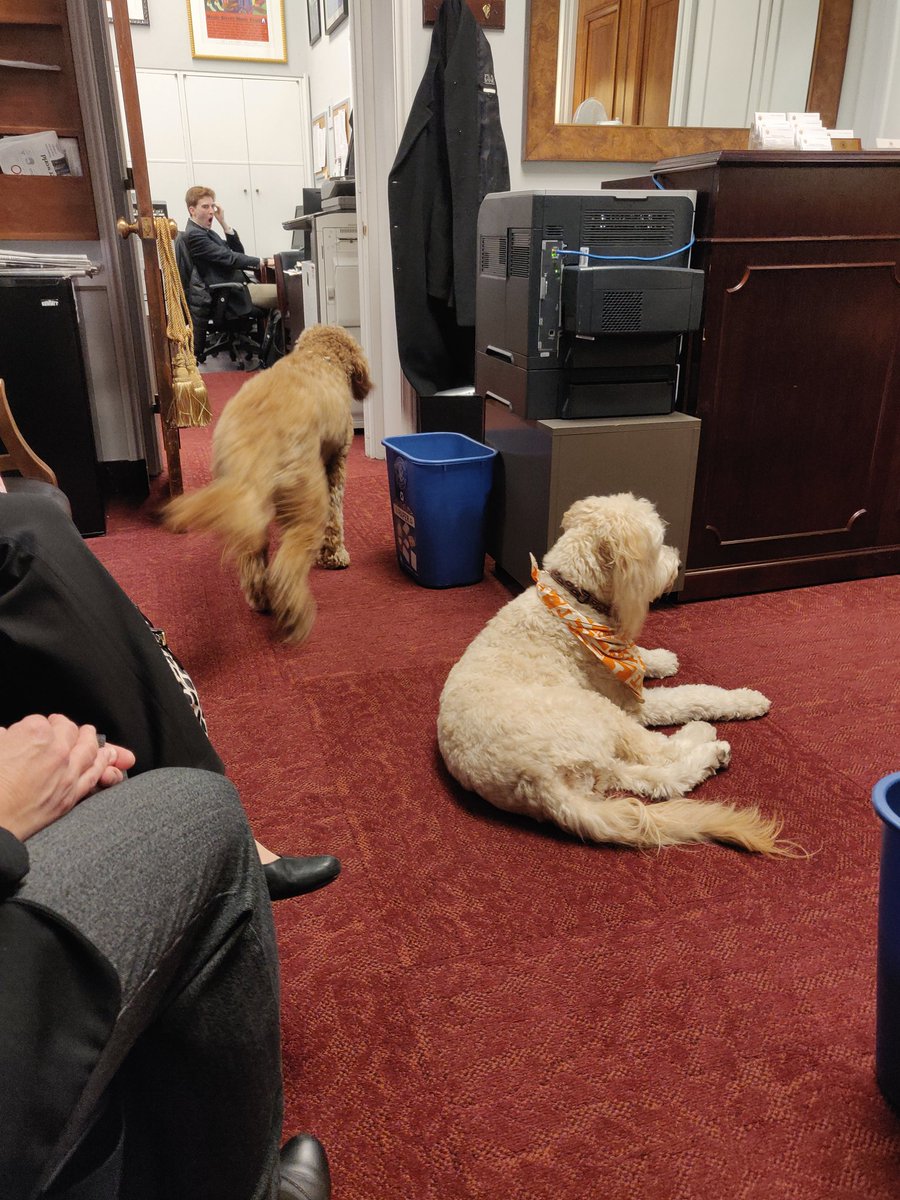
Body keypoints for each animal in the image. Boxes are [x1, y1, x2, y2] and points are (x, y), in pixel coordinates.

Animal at [164, 324, 372, 643]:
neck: (319, 356)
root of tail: (255, 443)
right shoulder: (337, 462)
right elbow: (335, 519)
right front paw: (335, 556)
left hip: (248, 507)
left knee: (252, 560)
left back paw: (261, 598)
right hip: (305, 499)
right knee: (287, 564)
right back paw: (293, 614)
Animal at [441, 489, 792, 854]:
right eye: (658, 545)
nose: (679, 565)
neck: (574, 598)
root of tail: (536, 782)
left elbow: (641, 656)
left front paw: (660, 659)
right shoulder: (632, 702)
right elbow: (692, 696)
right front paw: (746, 700)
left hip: (602, 765)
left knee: (662, 782)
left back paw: (711, 757)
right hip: (600, 711)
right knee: (659, 752)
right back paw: (703, 735)